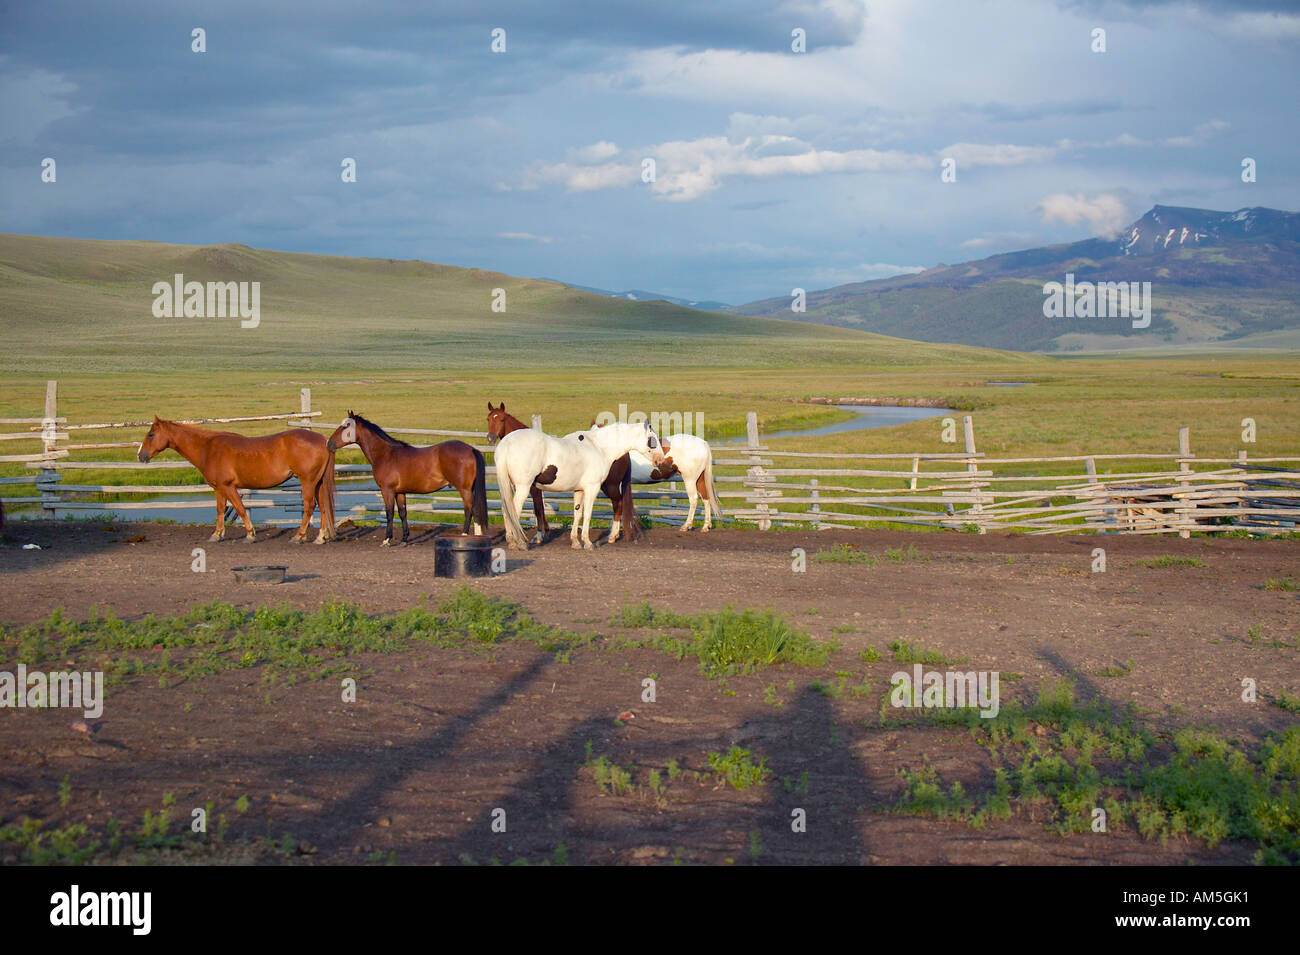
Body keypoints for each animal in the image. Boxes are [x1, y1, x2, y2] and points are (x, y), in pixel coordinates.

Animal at [137, 418, 338, 545]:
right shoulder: (218, 488)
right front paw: (217, 535)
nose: (140, 455)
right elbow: (220, 510)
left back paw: (299, 536)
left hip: (307, 482)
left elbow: (240, 509)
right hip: (318, 483)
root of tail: (323, 439)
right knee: (322, 506)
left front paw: (250, 535)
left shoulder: (228, 487)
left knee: (309, 506)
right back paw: (320, 538)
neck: (207, 448)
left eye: (151, 435)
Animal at [325, 410, 488, 545]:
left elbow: (389, 513)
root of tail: (471, 449)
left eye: (346, 426)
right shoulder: (400, 492)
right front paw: (404, 539)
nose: (329, 443)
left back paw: (465, 534)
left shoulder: (387, 491)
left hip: (464, 489)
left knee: (469, 509)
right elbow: (403, 513)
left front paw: (387, 539)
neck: (385, 454)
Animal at [483, 400, 639, 540]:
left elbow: (538, 509)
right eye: (488, 418)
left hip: (610, 485)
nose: (490, 438)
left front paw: (539, 534)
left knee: (618, 504)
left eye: (501, 419)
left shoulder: (533, 488)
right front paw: (544, 531)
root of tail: (624, 454)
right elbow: (537, 509)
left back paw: (613, 535)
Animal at [491, 420, 665, 553]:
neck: (599, 447)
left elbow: (578, 513)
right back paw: (520, 543)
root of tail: (506, 444)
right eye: (652, 439)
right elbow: (587, 514)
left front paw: (575, 542)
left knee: (506, 510)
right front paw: (587, 542)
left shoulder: (579, 490)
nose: (661, 460)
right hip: (523, 487)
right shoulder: (592, 488)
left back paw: (511, 541)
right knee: (513, 511)